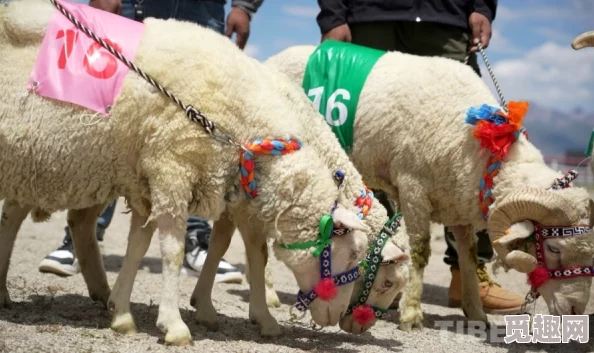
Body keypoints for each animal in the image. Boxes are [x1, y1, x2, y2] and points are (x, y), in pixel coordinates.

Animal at [0, 0, 386, 344]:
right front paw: (173, 325)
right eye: (354, 254)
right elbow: (172, 251)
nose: (342, 320)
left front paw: (121, 312)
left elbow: (140, 245)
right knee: (19, 219)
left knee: (36, 219)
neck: (239, 131)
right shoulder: (171, 168)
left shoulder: (154, 181)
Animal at [262, 43, 592, 330]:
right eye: (553, 247)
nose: (576, 310)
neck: (480, 152)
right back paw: (269, 296)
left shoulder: (457, 201)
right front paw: (411, 313)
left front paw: (476, 313)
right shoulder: (413, 186)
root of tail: (274, 57)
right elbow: (419, 251)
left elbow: (467, 256)